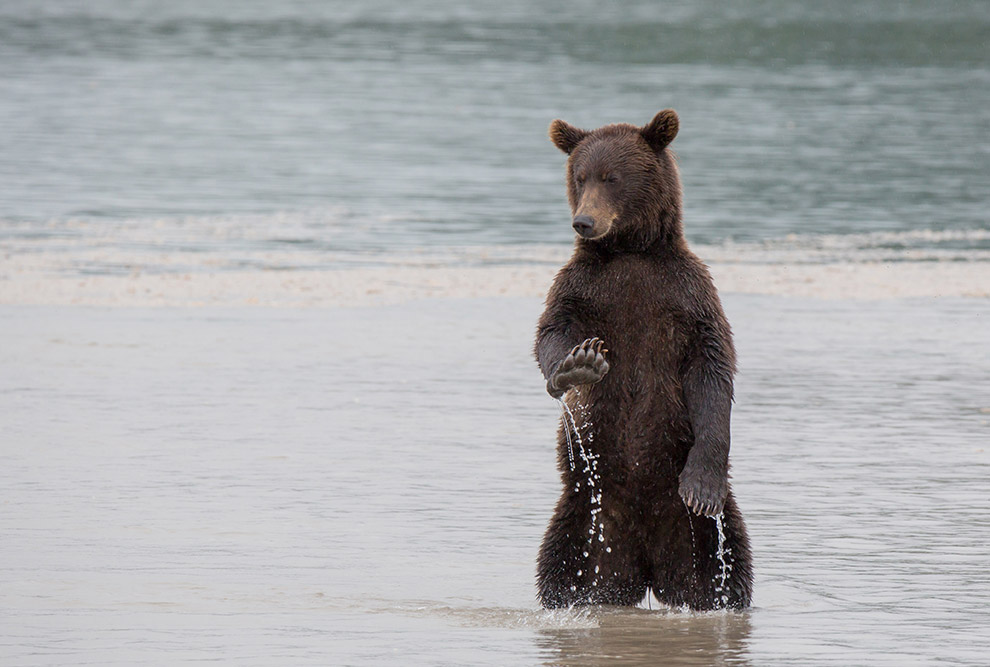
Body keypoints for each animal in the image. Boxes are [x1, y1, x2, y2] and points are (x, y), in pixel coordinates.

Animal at [540, 108, 756, 612]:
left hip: (701, 536)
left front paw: (701, 487)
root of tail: (648, 568)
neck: (630, 251)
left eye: (612, 177)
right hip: (586, 517)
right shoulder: (583, 289)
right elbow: (551, 333)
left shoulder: (686, 297)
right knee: (562, 568)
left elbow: (713, 371)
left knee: (728, 566)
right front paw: (578, 365)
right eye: (580, 176)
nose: (584, 221)